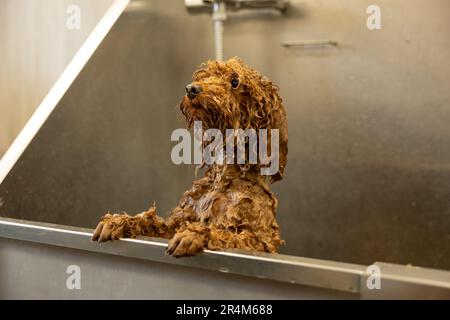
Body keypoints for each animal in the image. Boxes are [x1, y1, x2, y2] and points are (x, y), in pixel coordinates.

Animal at [92, 57, 288, 258]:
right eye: (205, 75)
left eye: (235, 81)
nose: (191, 89)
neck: (221, 180)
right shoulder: (177, 222)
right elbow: (151, 221)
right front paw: (117, 221)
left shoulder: (262, 240)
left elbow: (228, 235)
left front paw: (194, 234)